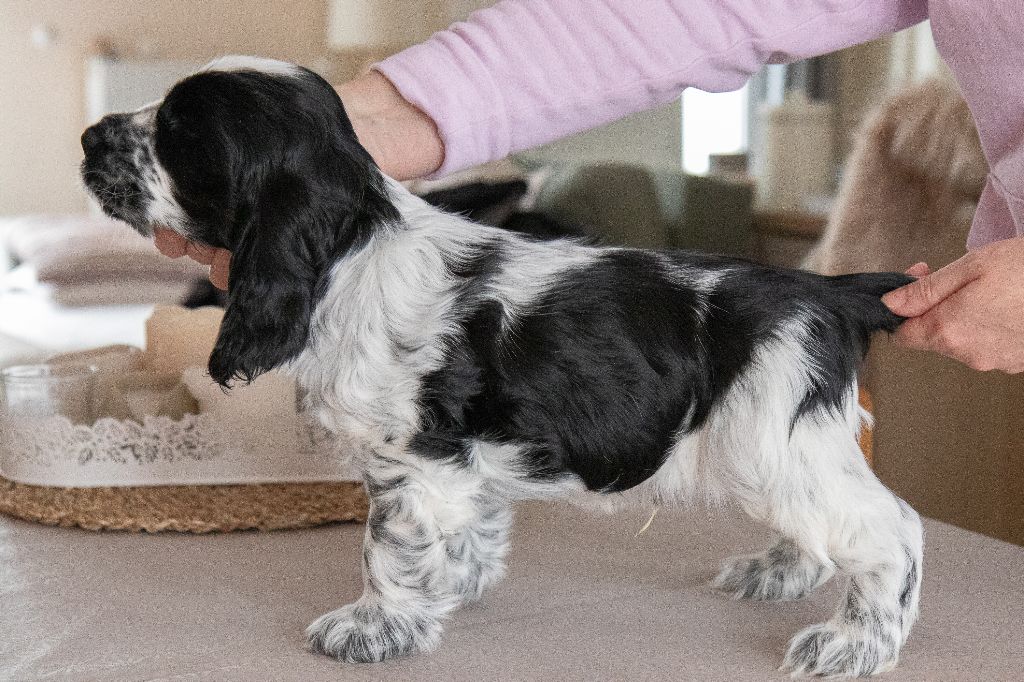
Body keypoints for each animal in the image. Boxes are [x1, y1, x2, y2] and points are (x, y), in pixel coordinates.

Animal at [81, 56, 923, 678]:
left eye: (180, 130)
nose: (90, 137)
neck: (354, 247)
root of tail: (829, 292)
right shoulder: (463, 460)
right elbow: (468, 527)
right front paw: (452, 584)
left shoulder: (415, 461)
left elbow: (386, 546)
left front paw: (373, 627)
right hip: (781, 454)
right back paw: (775, 574)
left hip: (771, 443)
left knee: (893, 530)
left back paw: (854, 643)